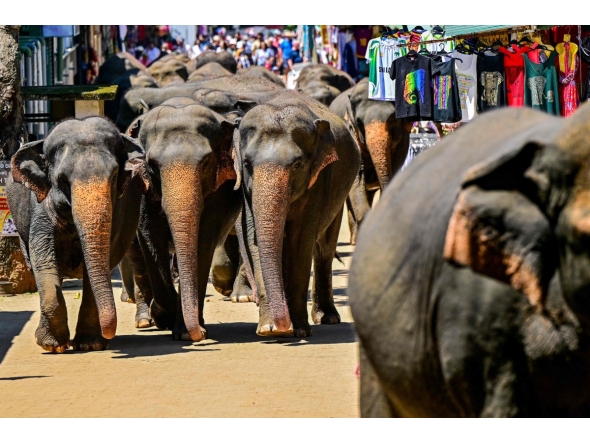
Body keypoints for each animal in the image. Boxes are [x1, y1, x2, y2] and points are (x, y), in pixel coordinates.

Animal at [6, 118, 150, 354]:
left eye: (114, 177)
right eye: (62, 180)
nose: (109, 333)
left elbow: (103, 260)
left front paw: (90, 344)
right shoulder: (41, 205)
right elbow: (43, 260)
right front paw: (52, 345)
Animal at [128, 97, 242, 340]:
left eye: (206, 162)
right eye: (152, 164)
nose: (197, 335)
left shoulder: (220, 191)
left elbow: (204, 240)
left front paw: (186, 333)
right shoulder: (142, 185)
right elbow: (150, 236)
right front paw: (163, 316)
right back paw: (144, 320)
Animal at [235, 88, 364, 334]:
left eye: (297, 165)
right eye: (247, 164)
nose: (282, 326)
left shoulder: (319, 178)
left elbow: (301, 240)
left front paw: (300, 331)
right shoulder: (246, 191)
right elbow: (254, 238)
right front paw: (268, 329)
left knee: (324, 248)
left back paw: (327, 318)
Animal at [330, 80, 410, 246]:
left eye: (392, 119)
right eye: (359, 122)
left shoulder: (403, 141)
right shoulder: (351, 134)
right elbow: (357, 177)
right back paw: (354, 241)